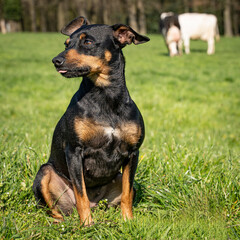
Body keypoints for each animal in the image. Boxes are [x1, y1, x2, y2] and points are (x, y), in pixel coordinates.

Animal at [32, 16, 149, 225]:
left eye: (87, 42)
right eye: (66, 43)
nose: (56, 60)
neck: (105, 97)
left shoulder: (132, 153)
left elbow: (127, 195)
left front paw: (127, 221)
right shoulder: (74, 151)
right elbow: (81, 195)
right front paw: (87, 224)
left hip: (118, 179)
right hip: (45, 173)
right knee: (54, 209)